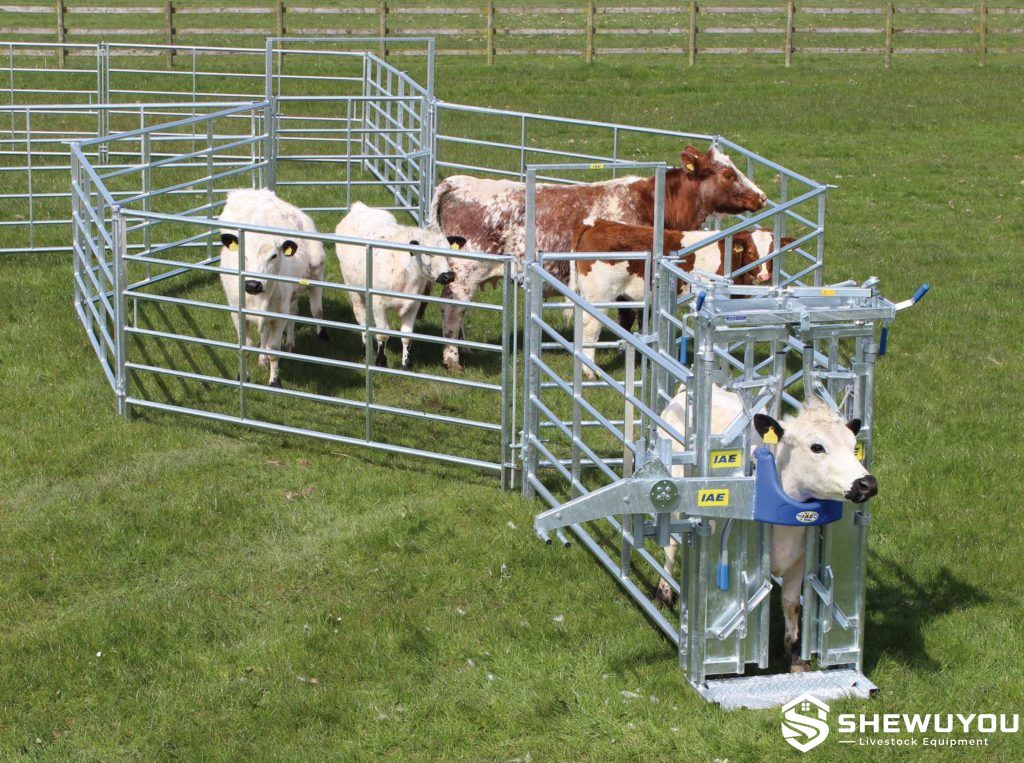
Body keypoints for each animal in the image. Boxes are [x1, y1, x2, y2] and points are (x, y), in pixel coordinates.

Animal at [218, 188, 328, 388]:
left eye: (274, 256)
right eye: (243, 255)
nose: (253, 284)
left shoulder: (279, 313)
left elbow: (274, 349)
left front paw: (275, 381)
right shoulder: (237, 313)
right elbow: (245, 345)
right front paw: (243, 376)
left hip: (314, 274)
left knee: (312, 311)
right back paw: (263, 358)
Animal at [335, 202, 463, 370]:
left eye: (449, 252)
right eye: (427, 253)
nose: (448, 276)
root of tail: (360, 207)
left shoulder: (413, 304)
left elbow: (407, 335)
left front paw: (406, 363)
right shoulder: (379, 303)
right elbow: (383, 333)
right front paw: (381, 361)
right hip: (353, 289)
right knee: (361, 317)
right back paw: (365, 347)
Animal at [430, 145, 768, 372]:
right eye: (728, 173)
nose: (761, 196)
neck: (654, 204)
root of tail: (458, 182)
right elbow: (631, 318)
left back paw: (465, 350)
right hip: (465, 271)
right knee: (452, 308)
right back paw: (452, 358)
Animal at [569, 219, 790, 358]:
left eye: (773, 252)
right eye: (752, 252)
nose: (764, 276)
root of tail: (596, 224)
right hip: (599, 296)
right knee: (590, 328)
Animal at [657, 386, 877, 671]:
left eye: (853, 447)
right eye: (817, 447)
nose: (867, 483)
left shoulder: (799, 563)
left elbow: (791, 605)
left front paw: (796, 659)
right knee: (671, 547)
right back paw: (664, 591)